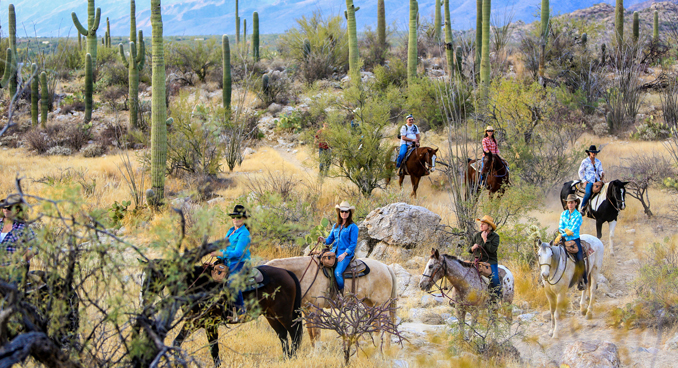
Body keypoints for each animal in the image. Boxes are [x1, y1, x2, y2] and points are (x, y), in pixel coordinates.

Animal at [138, 258, 302, 366]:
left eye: (153, 276)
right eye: (141, 276)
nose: (143, 300)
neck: (200, 285)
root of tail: (286, 272)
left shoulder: (210, 324)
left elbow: (214, 350)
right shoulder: (193, 322)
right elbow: (177, 342)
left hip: (284, 314)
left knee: (293, 332)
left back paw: (293, 358)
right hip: (270, 315)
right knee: (282, 334)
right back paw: (286, 359)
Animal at [266, 254, 398, 344]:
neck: (305, 272)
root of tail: (386, 267)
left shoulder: (316, 309)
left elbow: (316, 333)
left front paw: (316, 355)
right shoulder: (306, 310)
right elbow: (311, 333)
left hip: (381, 305)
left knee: (386, 327)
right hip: (371, 305)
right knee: (377, 327)